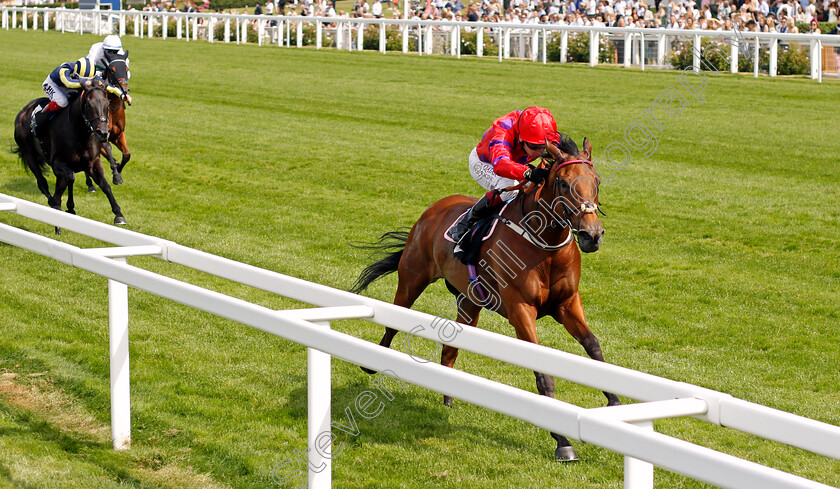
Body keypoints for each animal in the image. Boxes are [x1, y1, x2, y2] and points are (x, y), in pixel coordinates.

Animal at [12, 82, 126, 227]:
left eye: (107, 103)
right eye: (89, 105)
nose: (103, 133)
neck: (80, 134)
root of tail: (22, 112)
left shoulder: (93, 162)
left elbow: (105, 185)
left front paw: (119, 214)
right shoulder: (57, 164)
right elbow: (71, 177)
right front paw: (71, 208)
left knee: (57, 192)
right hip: (29, 155)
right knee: (43, 184)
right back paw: (54, 205)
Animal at [352, 136, 620, 462]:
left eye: (596, 181)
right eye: (564, 183)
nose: (592, 235)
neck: (545, 245)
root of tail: (435, 208)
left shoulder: (568, 303)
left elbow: (594, 346)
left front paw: (615, 404)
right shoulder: (520, 309)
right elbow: (544, 374)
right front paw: (562, 441)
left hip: (469, 302)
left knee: (449, 350)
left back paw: (449, 396)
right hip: (412, 277)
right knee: (394, 319)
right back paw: (373, 362)